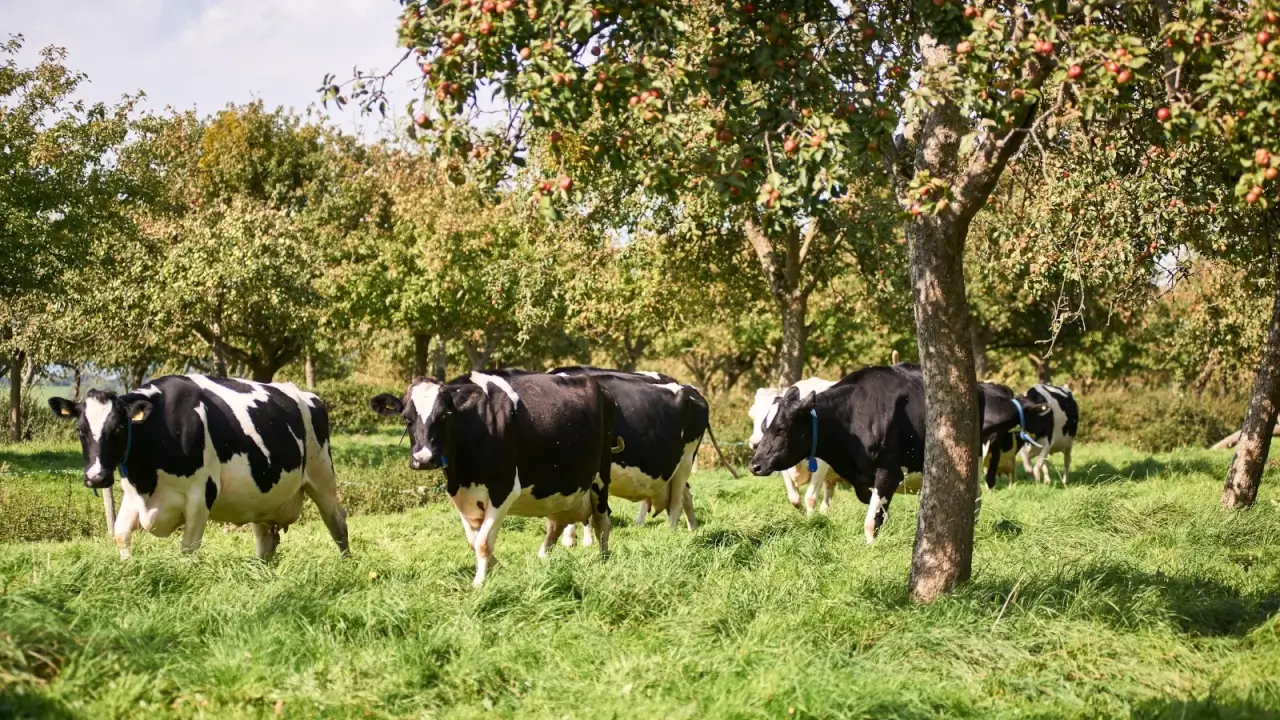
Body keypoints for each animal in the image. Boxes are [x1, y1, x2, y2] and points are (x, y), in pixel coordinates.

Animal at [47, 375, 349, 561]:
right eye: (80, 431)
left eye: (119, 428)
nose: (96, 478)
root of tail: (306, 395)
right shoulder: (133, 495)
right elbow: (121, 534)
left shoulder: (199, 495)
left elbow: (187, 549)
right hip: (262, 500)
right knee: (265, 542)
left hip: (322, 477)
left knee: (337, 523)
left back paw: (345, 565)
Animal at [369, 370, 617, 587]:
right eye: (406, 418)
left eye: (444, 416)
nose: (424, 459)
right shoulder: (460, 494)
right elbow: (473, 540)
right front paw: (496, 568)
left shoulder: (504, 489)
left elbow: (482, 542)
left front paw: (479, 582)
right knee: (556, 524)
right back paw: (542, 559)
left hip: (601, 476)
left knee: (602, 521)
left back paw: (603, 560)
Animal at [548, 367, 722, 548]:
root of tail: (690, 390)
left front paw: (574, 541)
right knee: (684, 495)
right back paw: (692, 528)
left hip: (685, 462)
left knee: (676, 503)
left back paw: (670, 537)